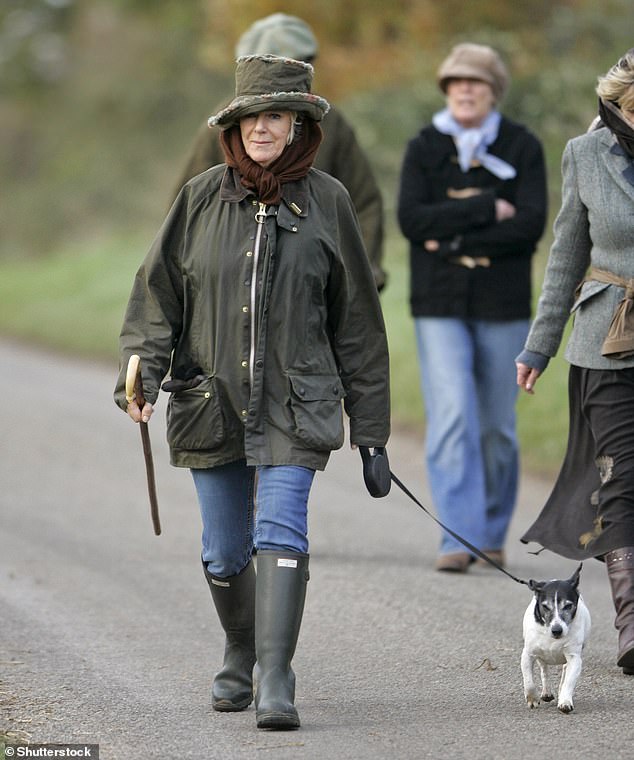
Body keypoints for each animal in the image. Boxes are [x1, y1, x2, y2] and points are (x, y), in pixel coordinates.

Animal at [520, 564, 592, 712]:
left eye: (568, 606)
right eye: (545, 606)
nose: (557, 630)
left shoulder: (574, 658)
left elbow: (569, 681)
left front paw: (565, 701)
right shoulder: (528, 654)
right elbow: (529, 681)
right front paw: (532, 698)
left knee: (564, 672)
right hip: (540, 657)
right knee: (544, 670)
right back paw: (546, 692)